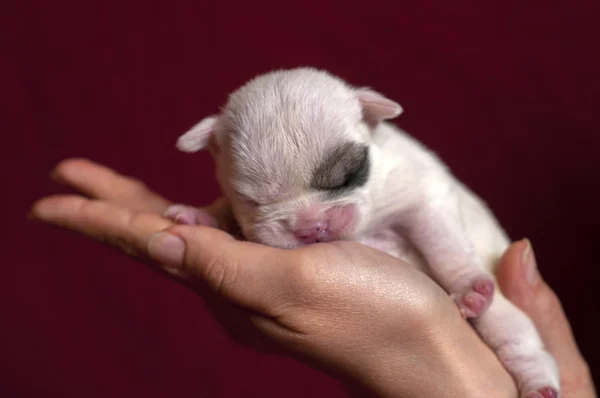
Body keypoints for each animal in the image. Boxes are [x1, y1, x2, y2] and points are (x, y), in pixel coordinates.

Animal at [164, 68, 556, 398]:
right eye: (253, 200)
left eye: (348, 176)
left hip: (503, 317)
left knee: (518, 339)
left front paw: (467, 285)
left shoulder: (422, 194)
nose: (310, 227)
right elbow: (224, 209)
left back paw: (536, 380)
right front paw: (200, 215)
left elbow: (443, 244)